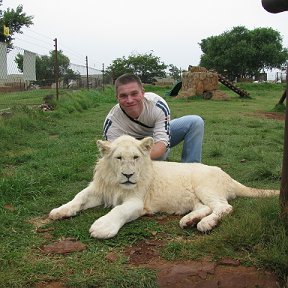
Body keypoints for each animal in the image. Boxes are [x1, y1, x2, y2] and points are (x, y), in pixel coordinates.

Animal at [49, 135, 280, 238]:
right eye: (119, 158)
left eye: (135, 157)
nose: (128, 175)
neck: (116, 183)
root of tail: (228, 176)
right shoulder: (99, 190)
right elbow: (79, 197)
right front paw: (59, 211)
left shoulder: (137, 202)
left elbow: (119, 210)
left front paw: (102, 227)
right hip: (195, 197)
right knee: (206, 207)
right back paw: (189, 220)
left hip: (205, 186)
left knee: (224, 207)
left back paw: (205, 224)